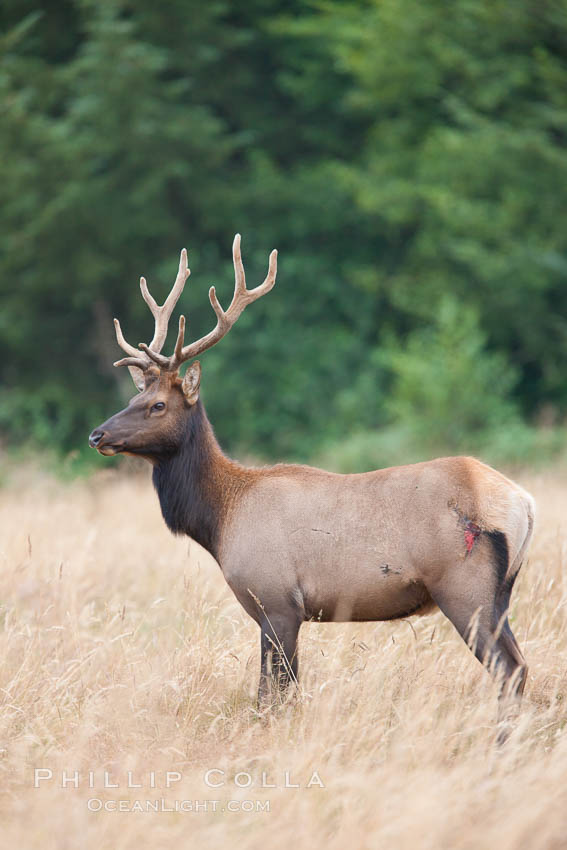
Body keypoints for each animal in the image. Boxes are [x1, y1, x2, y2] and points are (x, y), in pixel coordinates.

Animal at [90, 234, 536, 728]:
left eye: (158, 406)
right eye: (134, 396)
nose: (97, 434)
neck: (221, 517)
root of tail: (524, 504)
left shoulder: (277, 601)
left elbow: (272, 696)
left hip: (464, 586)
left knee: (507, 669)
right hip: (500, 594)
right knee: (520, 666)